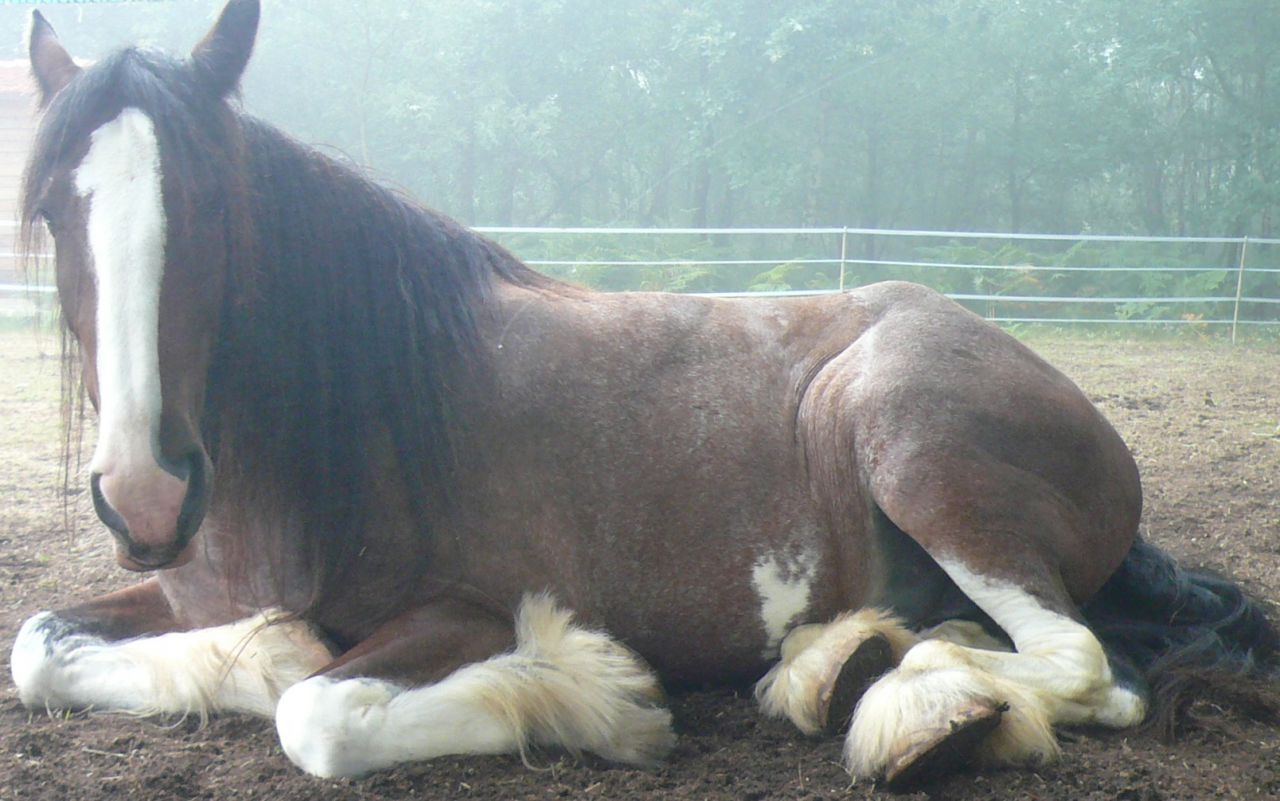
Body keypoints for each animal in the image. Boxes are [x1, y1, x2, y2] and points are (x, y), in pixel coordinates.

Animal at [11, 0, 1278, 790]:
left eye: (212, 204)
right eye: (53, 208)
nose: (143, 493)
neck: (346, 416)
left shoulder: (457, 613)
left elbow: (313, 713)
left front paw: (597, 697)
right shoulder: (174, 593)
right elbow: (38, 648)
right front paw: (253, 652)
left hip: (913, 447)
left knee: (1082, 668)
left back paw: (867, 696)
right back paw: (852, 664)